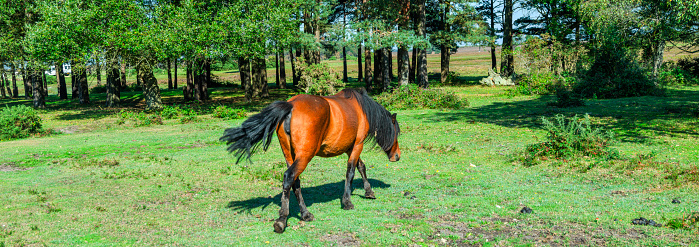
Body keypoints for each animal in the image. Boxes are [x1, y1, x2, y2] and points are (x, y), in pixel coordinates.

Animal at [221, 88, 402, 233]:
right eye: (397, 132)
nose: (397, 156)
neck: (361, 109)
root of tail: (291, 106)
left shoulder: (350, 148)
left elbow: (361, 167)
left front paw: (369, 191)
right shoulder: (357, 145)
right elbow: (350, 172)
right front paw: (347, 202)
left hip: (291, 156)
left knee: (295, 182)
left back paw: (305, 214)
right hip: (304, 157)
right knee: (289, 177)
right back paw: (282, 220)